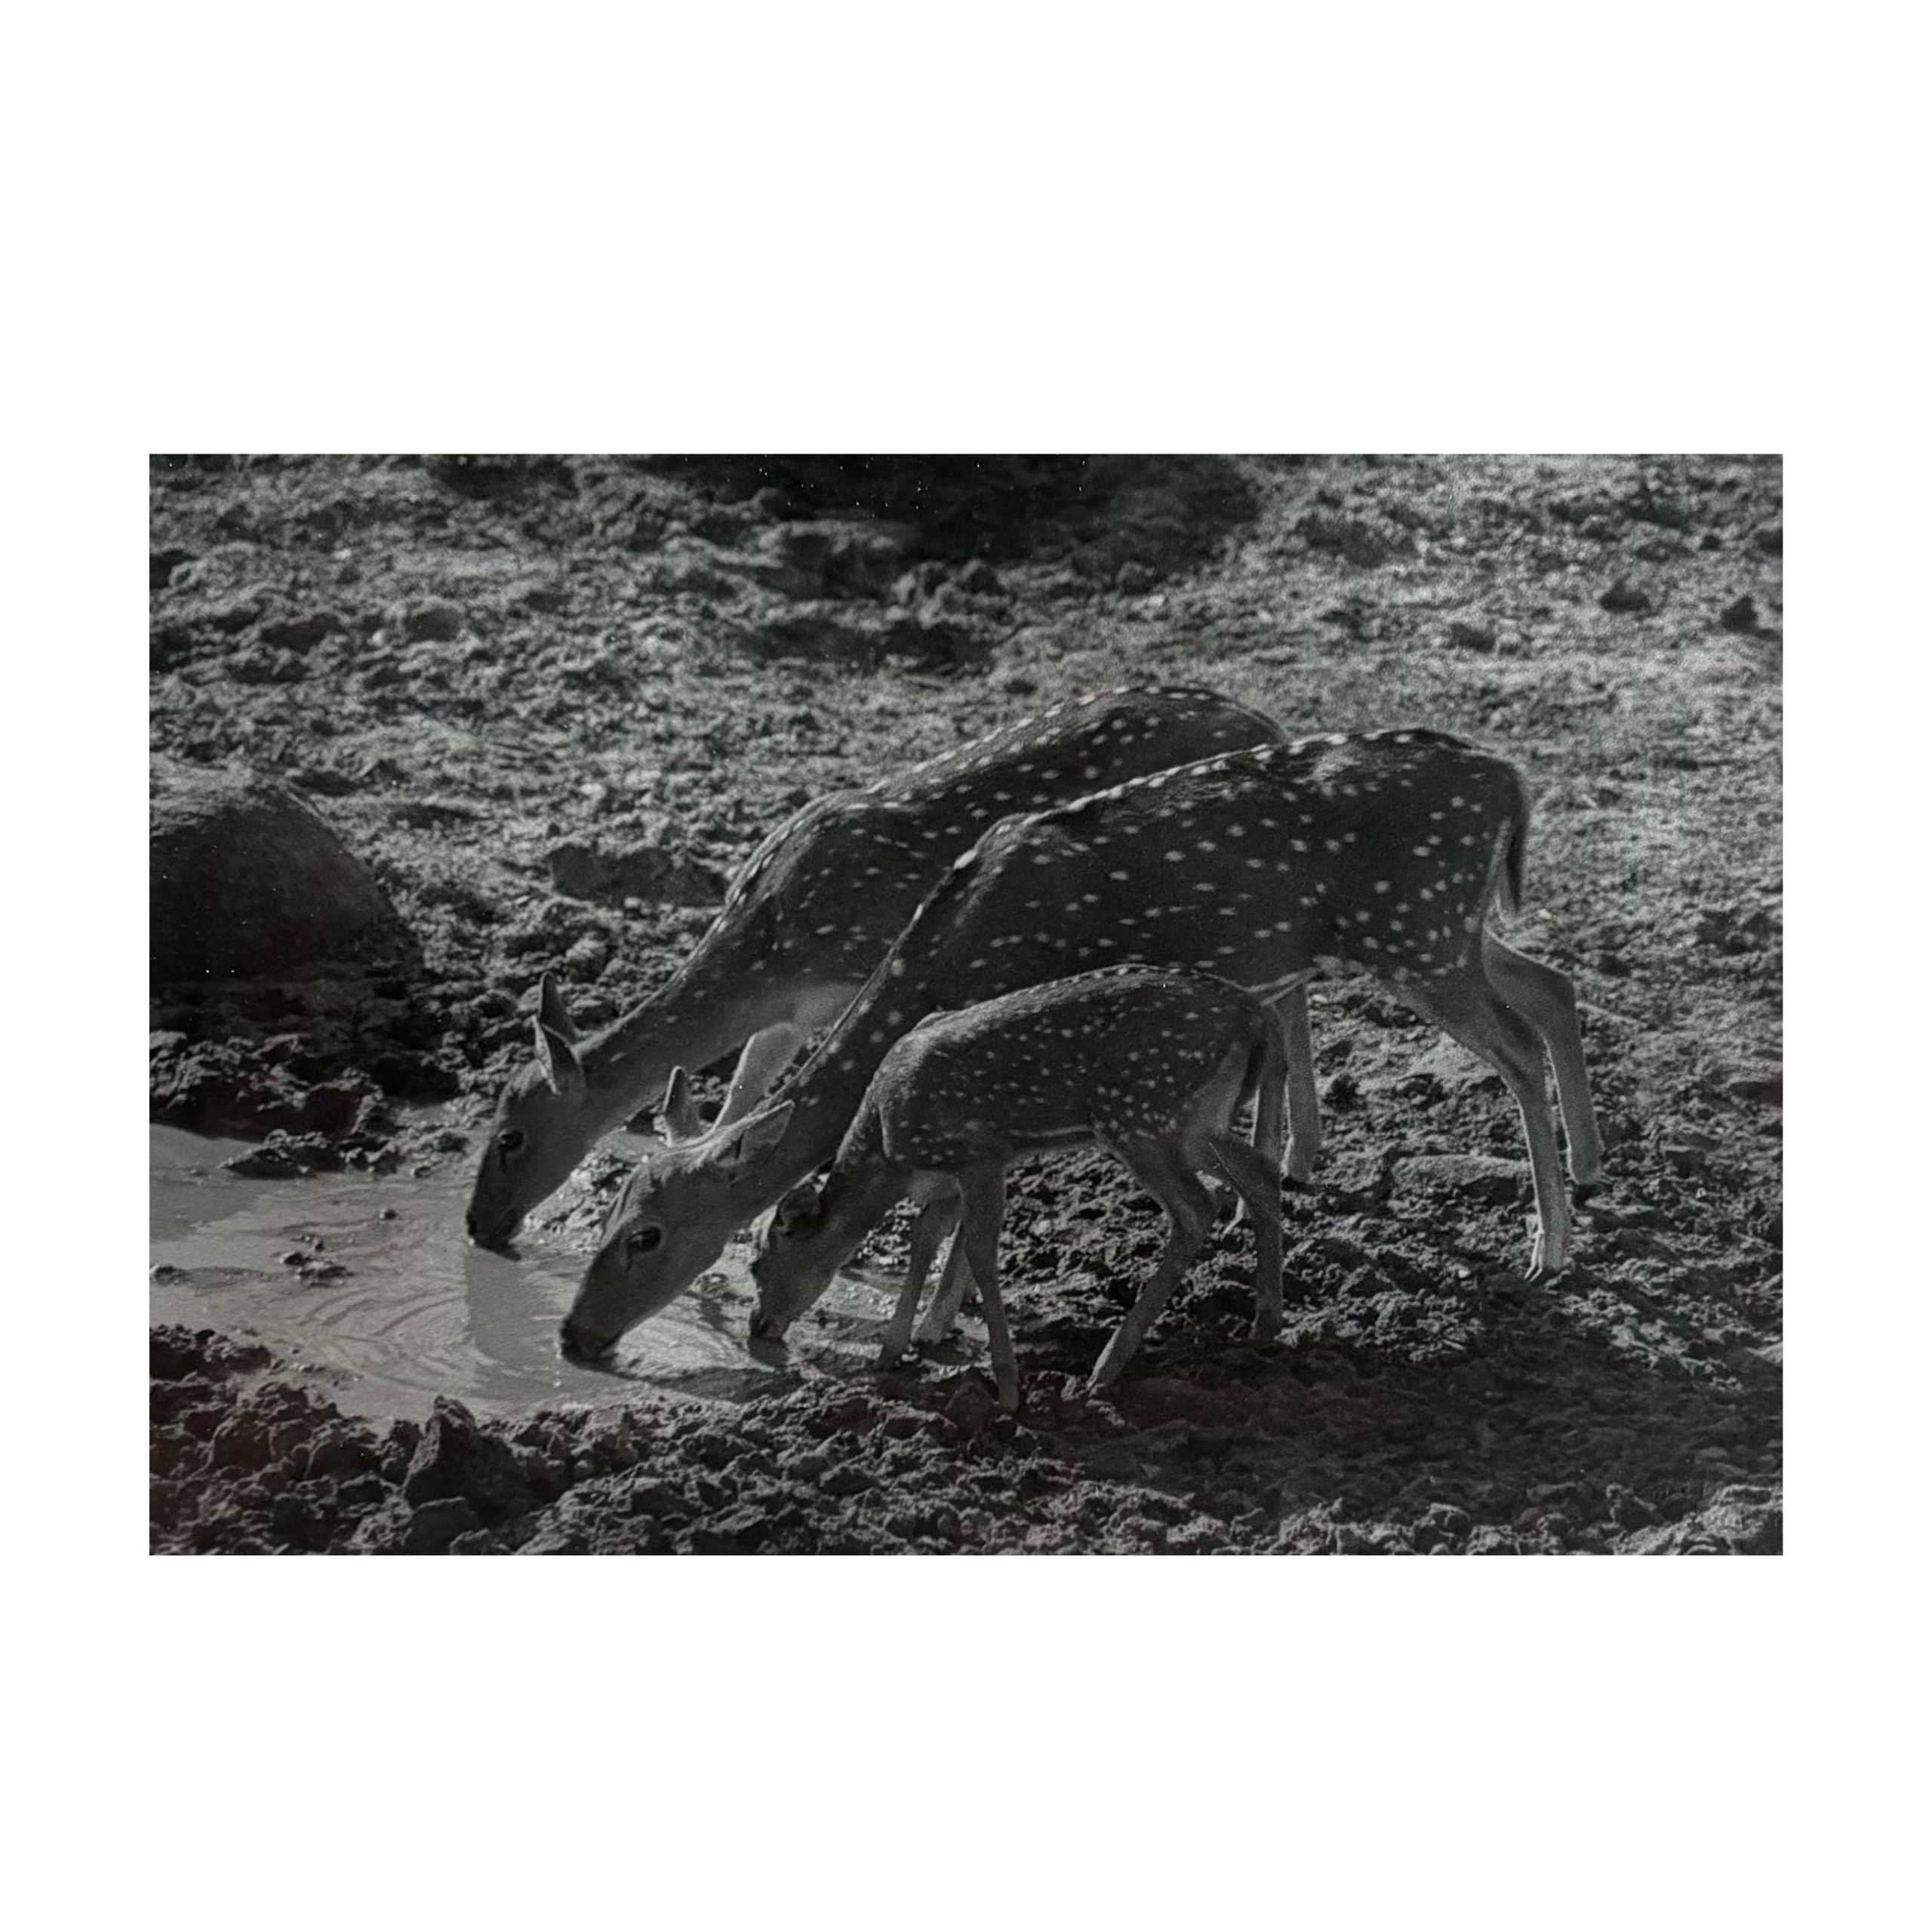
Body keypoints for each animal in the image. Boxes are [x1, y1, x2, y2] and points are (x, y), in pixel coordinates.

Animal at [463, 685, 1317, 1249]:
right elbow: (743, 1094)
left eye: (510, 1137)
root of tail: (1267, 720)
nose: (476, 1224)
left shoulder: (865, 968)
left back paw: (1285, 1168)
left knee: (1288, 1000)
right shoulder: (790, 1011)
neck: (770, 939)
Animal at [559, 727, 1603, 1361]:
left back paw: (1546, 1249)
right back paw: (1588, 1174)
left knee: (1515, 1046)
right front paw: (940, 1326)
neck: (950, 953)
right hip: (1445, 928)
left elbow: (965, 1203)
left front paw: (937, 1331)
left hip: (1414, 932)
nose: (572, 1336)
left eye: (646, 1234)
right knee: (1553, 985)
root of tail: (1514, 781)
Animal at [745, 966, 1289, 1408]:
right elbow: (924, 1239)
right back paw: (1265, 1327)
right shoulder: (948, 1177)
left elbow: (981, 1253)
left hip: (1142, 1116)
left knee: (1197, 1208)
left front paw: (1007, 1388)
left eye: (759, 1263)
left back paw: (1106, 1367)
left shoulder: (980, 1155)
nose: (758, 1324)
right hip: (1197, 1123)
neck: (888, 1149)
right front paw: (890, 1352)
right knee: (1262, 1175)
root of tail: (1258, 1014)